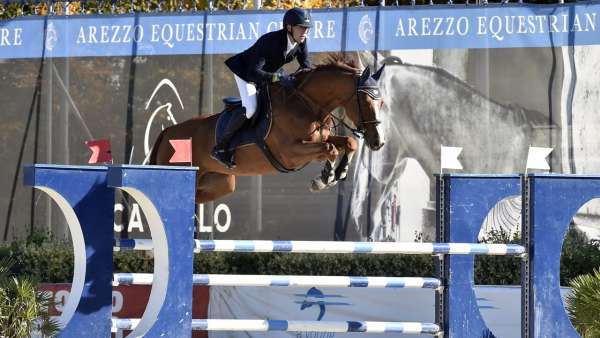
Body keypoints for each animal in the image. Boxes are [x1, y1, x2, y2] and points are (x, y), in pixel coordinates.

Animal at [149, 54, 384, 203]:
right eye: (365, 102)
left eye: (381, 103)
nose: (378, 142)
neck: (307, 104)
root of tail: (167, 132)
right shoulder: (290, 153)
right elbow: (329, 149)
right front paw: (324, 179)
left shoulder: (317, 139)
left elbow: (348, 143)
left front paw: (336, 173)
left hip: (221, 183)